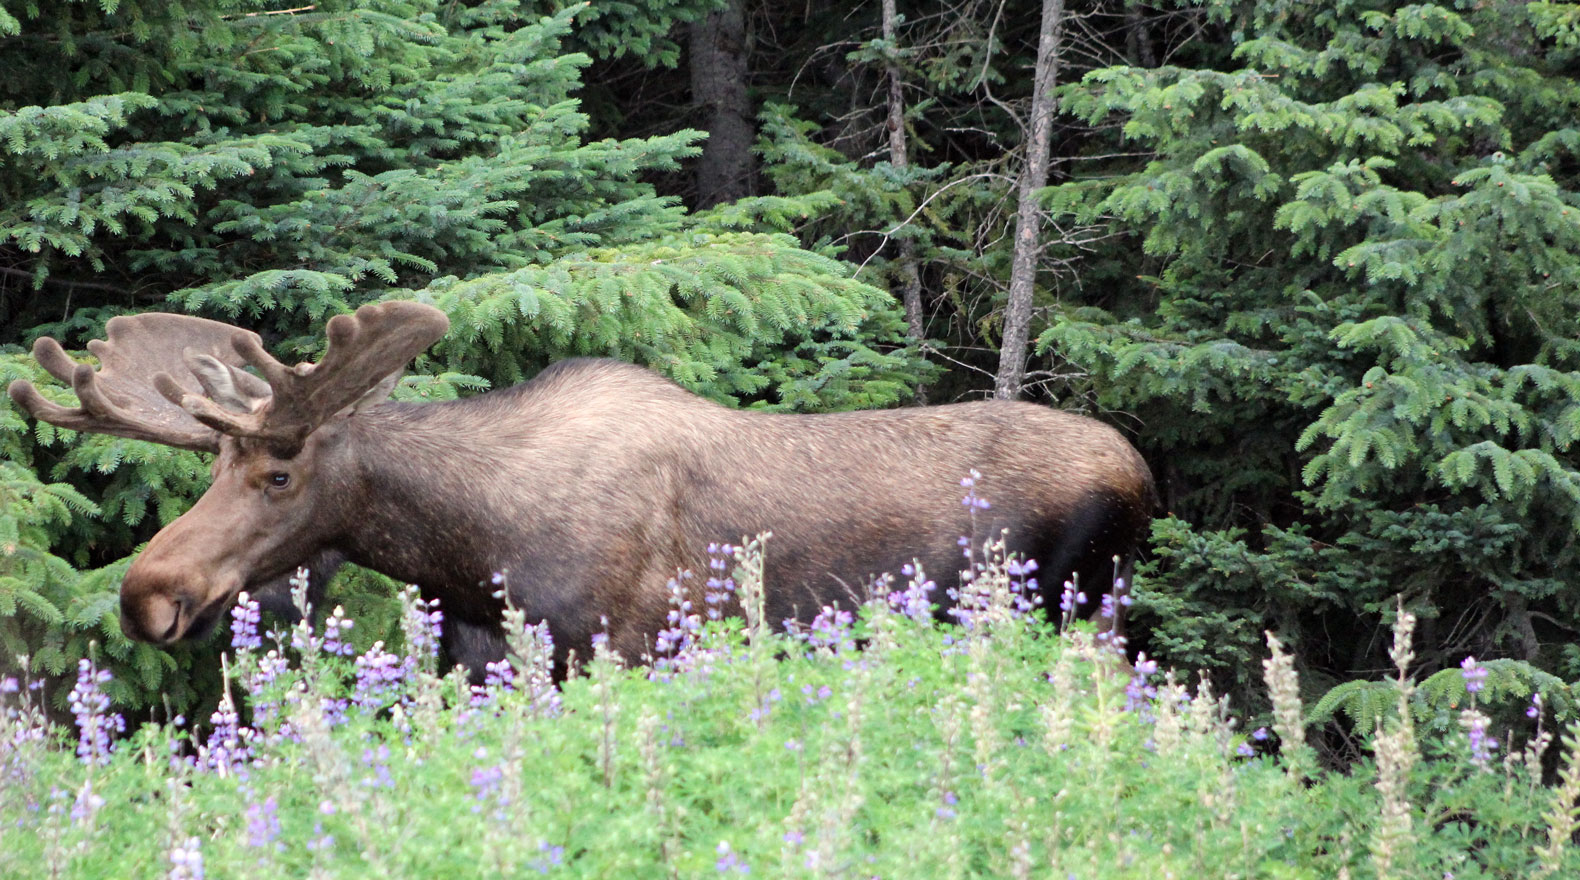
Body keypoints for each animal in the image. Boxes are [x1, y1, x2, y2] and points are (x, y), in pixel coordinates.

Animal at [6, 300, 1156, 673]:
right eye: (211, 467)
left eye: (278, 470)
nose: (146, 595)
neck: (470, 552)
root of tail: (1143, 474)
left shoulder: (629, 644)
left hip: (1062, 611)